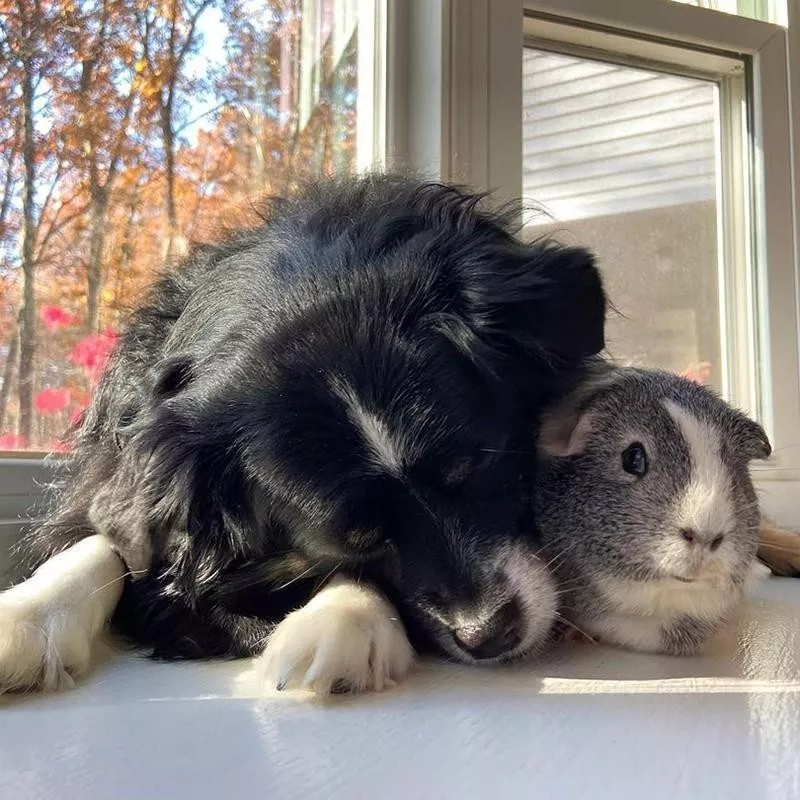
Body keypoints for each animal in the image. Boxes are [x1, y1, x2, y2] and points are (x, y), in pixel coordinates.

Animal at [0, 173, 608, 692]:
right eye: (362, 539)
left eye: (481, 466)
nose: (489, 636)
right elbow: (104, 540)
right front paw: (27, 614)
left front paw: (341, 620)